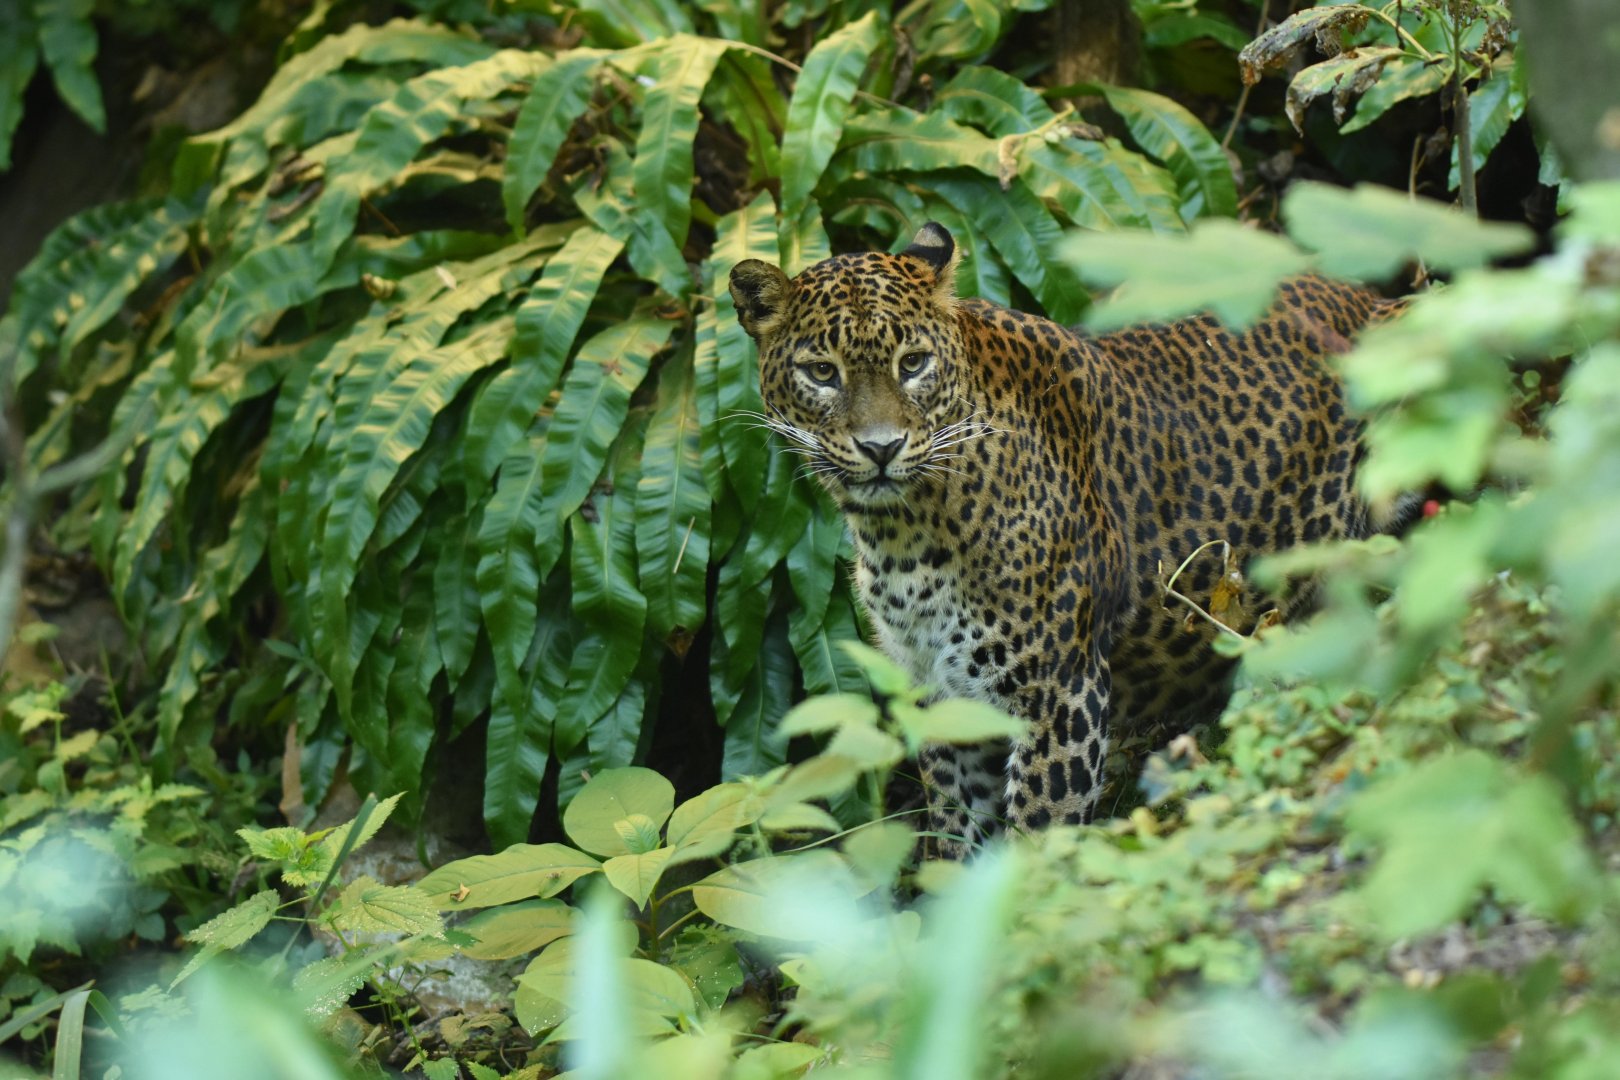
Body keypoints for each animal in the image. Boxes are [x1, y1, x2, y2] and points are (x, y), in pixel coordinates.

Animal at [729, 221, 1406, 854]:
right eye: (822, 372)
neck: (904, 536)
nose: (881, 448)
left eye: (912, 364)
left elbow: (1036, 842)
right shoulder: (942, 700)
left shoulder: (1060, 694)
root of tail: (1363, 292)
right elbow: (957, 848)